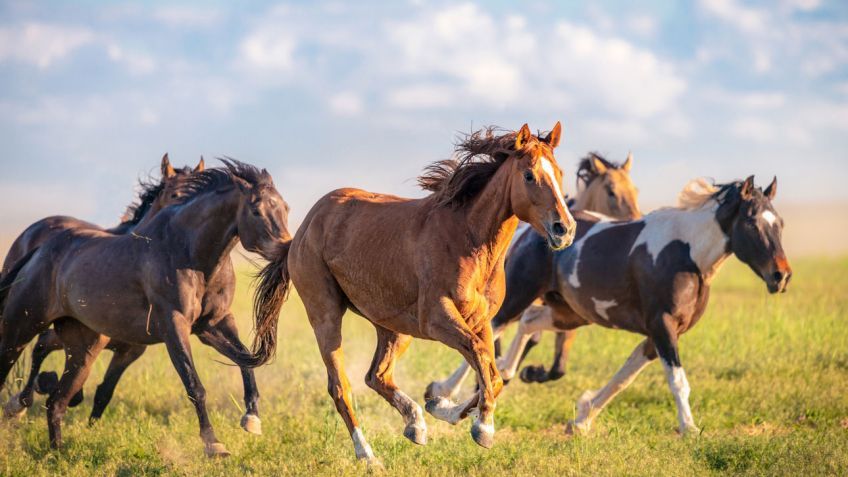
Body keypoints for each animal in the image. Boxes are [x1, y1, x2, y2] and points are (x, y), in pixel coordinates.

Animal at [249, 123, 575, 466]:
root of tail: (303, 230)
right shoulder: (437, 319)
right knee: (341, 388)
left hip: (393, 327)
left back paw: (415, 424)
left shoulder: (481, 320)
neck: (468, 240)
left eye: (559, 172)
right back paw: (368, 455)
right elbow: (481, 358)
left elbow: (492, 372)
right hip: (326, 316)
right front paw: (483, 427)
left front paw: (443, 407)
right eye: (529, 175)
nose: (564, 229)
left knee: (376, 376)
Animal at [427, 151, 642, 398]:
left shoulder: (566, 311)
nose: (637, 219)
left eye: (635, 190)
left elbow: (557, 366)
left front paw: (530, 372)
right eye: (611, 191)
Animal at [483, 176, 791, 436]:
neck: (687, 255)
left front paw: (581, 419)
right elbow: (677, 381)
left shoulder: (658, 335)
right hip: (520, 295)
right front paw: (689, 428)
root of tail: (530, 230)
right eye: (751, 222)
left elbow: (623, 378)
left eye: (780, 223)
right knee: (493, 329)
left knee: (528, 322)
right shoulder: (662, 326)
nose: (781, 275)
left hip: (570, 313)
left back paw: (509, 371)